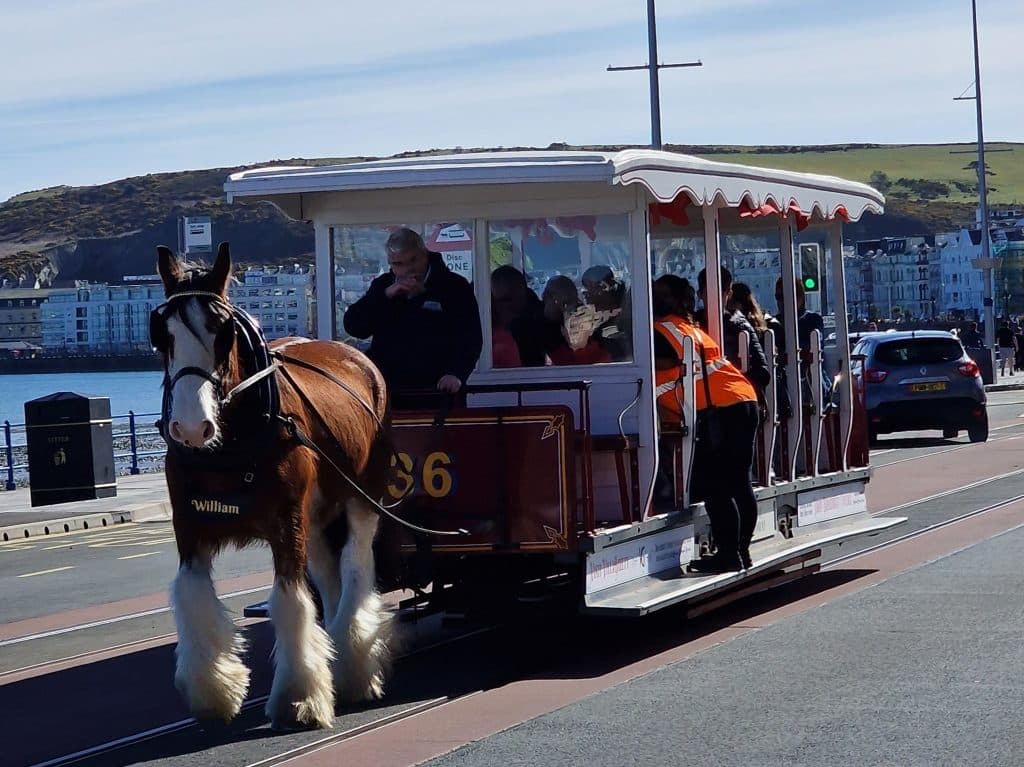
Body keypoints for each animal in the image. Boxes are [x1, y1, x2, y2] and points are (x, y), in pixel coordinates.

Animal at [149, 242, 393, 729]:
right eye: (161, 335)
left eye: (222, 332)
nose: (191, 428)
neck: (232, 442)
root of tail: (352, 353)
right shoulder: (190, 528)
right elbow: (193, 597)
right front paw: (213, 691)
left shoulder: (285, 524)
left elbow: (290, 601)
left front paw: (300, 697)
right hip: (314, 516)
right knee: (328, 573)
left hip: (361, 498)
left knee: (355, 566)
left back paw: (354, 664)